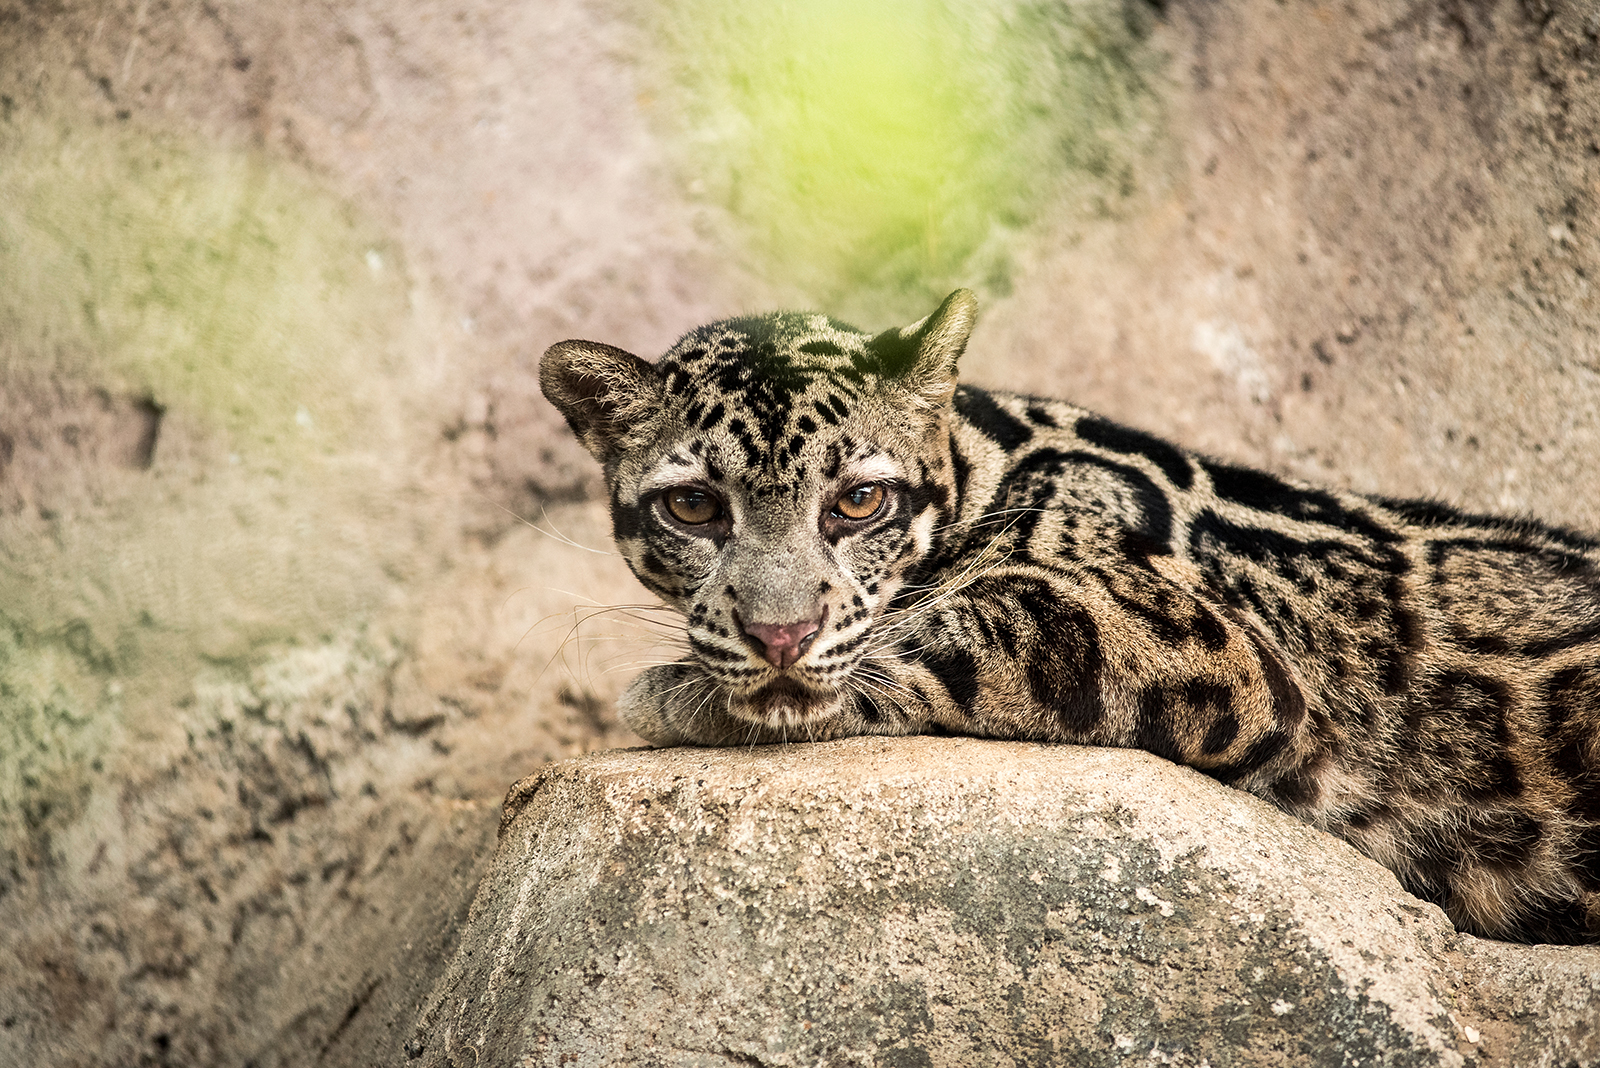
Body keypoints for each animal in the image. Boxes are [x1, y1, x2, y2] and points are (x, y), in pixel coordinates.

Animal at [540, 286, 1600, 940]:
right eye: (692, 507)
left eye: (859, 501)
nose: (778, 635)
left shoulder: (1201, 642)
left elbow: (952, 628)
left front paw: (680, 691)